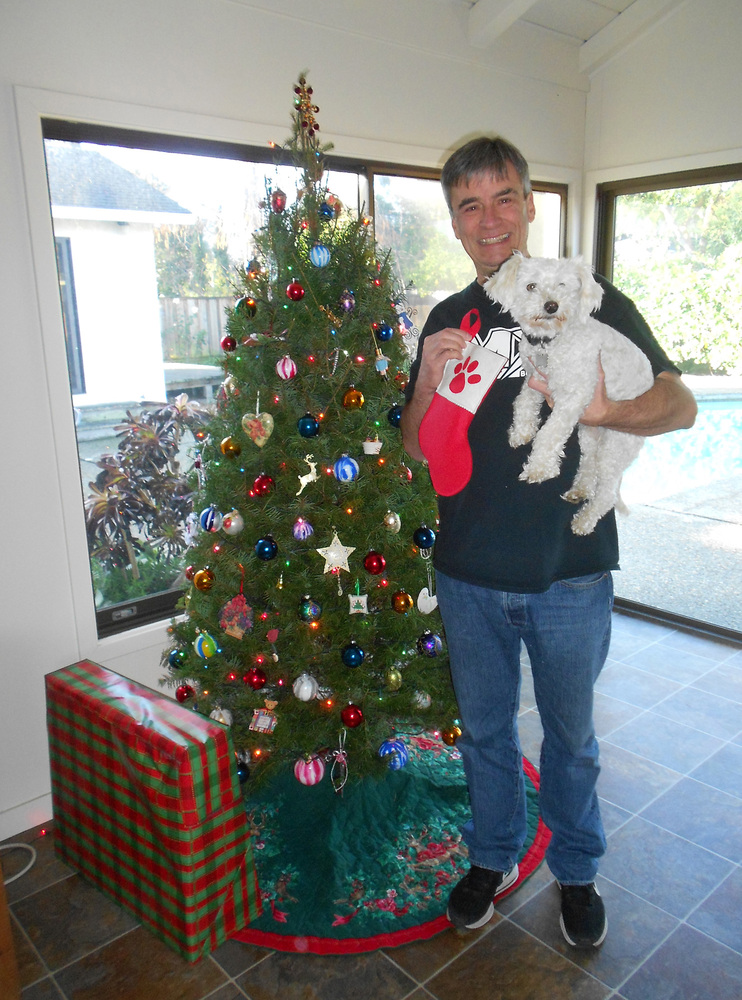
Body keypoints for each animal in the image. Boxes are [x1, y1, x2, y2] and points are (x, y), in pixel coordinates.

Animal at [484, 253, 654, 535]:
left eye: (563, 285)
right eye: (531, 286)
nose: (552, 305)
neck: (549, 343)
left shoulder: (573, 397)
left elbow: (548, 434)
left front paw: (539, 468)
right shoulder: (533, 380)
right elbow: (523, 404)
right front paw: (521, 432)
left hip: (614, 446)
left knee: (606, 493)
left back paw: (584, 520)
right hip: (590, 434)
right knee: (588, 466)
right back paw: (580, 490)